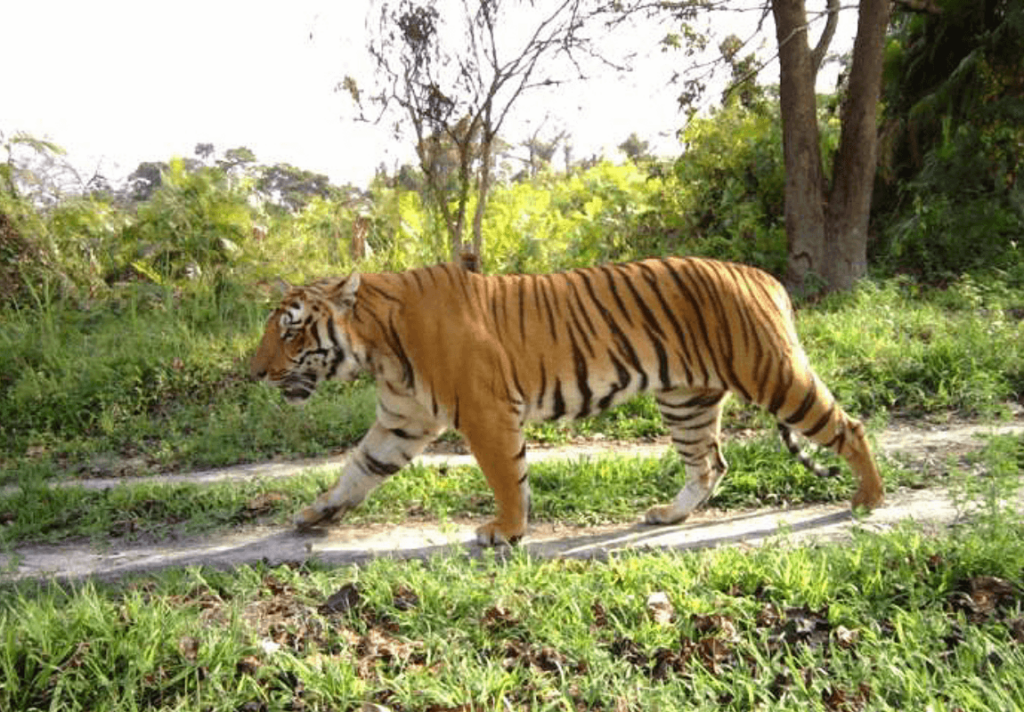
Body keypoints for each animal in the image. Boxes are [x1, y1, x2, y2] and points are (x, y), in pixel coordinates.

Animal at [251, 259, 884, 545]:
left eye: (290, 331)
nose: (256, 372)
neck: (377, 347)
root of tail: (764, 276)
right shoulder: (402, 422)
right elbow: (358, 469)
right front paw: (316, 513)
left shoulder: (486, 413)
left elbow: (506, 476)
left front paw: (505, 531)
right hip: (686, 400)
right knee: (709, 463)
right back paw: (669, 515)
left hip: (772, 374)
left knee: (847, 426)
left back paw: (869, 499)